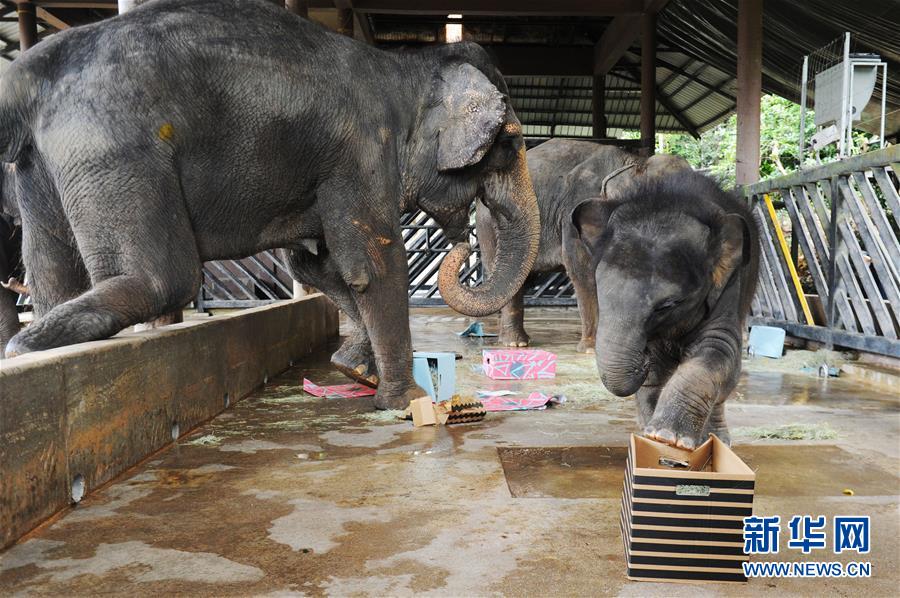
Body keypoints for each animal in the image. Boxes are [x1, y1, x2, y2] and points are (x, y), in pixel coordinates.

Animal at [0, 0, 536, 410]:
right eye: (509, 145)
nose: (461, 247)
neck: (407, 66)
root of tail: (29, 71)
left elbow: (317, 266)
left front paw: (353, 370)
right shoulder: (360, 153)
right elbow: (373, 266)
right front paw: (409, 403)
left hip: (52, 160)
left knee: (51, 270)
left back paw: (34, 337)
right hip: (111, 143)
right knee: (165, 277)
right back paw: (25, 344)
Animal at [472, 139, 688, 354]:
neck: (633, 163)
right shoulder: (573, 217)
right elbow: (583, 269)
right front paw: (592, 350)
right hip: (489, 225)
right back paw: (515, 344)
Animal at [568, 170, 760, 450]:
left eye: (667, 305)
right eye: (599, 291)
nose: (642, 358)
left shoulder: (729, 287)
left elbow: (719, 350)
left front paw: (669, 437)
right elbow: (658, 370)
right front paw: (650, 435)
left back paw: (718, 440)